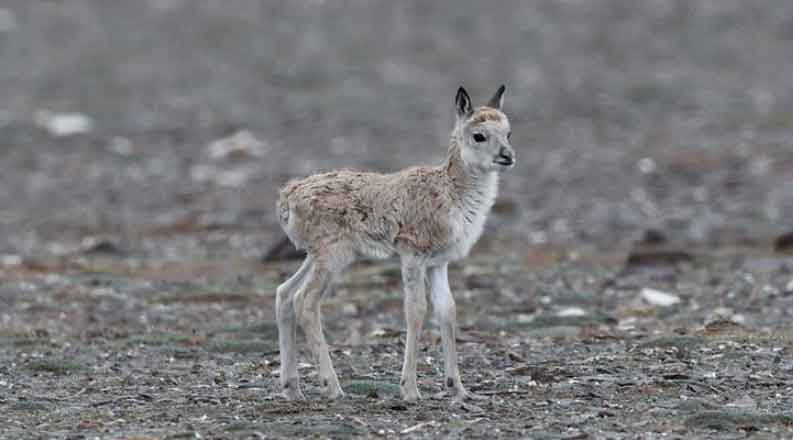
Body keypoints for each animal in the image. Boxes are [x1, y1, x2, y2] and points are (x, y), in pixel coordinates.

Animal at [276, 85, 516, 402]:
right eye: (479, 135)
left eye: (508, 132)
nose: (507, 156)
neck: (452, 192)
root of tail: (287, 196)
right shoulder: (412, 255)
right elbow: (416, 310)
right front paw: (410, 389)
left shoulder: (438, 263)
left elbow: (447, 310)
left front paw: (459, 389)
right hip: (333, 257)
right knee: (305, 301)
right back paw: (333, 387)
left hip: (315, 256)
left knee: (284, 293)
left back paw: (293, 388)